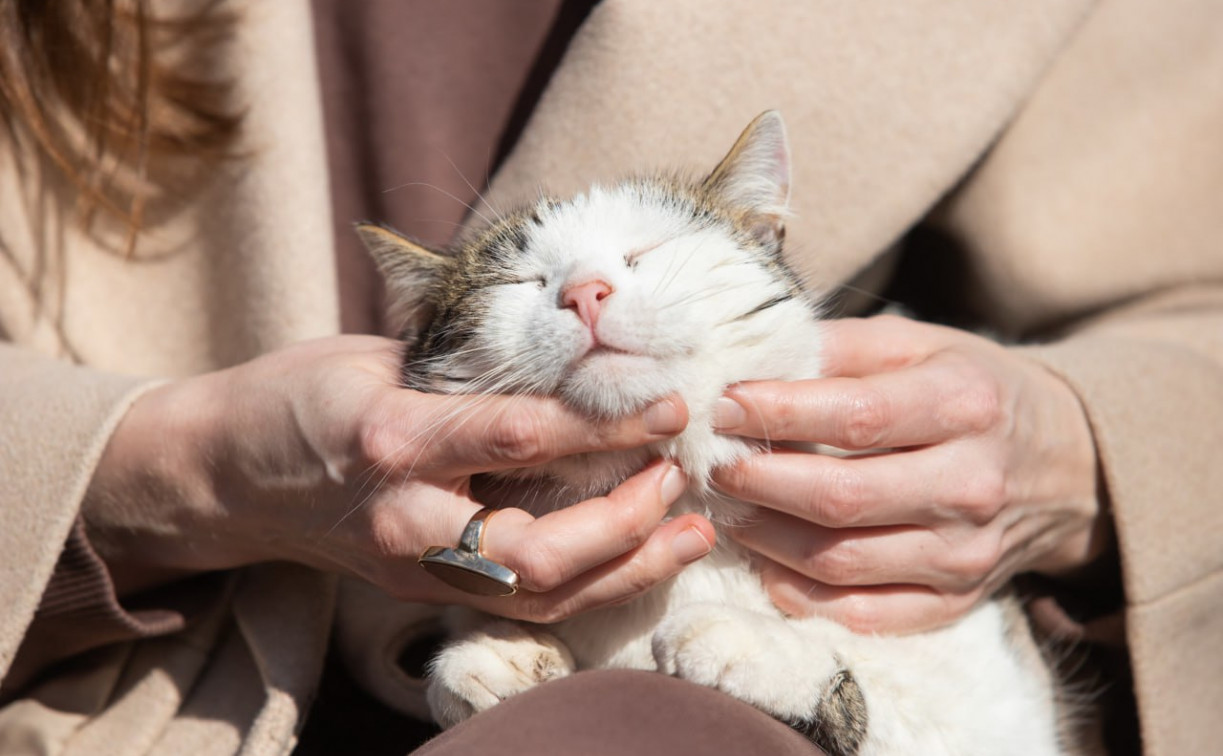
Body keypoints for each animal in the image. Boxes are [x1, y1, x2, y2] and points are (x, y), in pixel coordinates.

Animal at [354, 111, 1071, 753]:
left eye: (645, 253)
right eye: (520, 282)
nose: (585, 292)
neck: (683, 508)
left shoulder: (1002, 709)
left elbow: (894, 701)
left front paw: (750, 643)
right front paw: (489, 654)